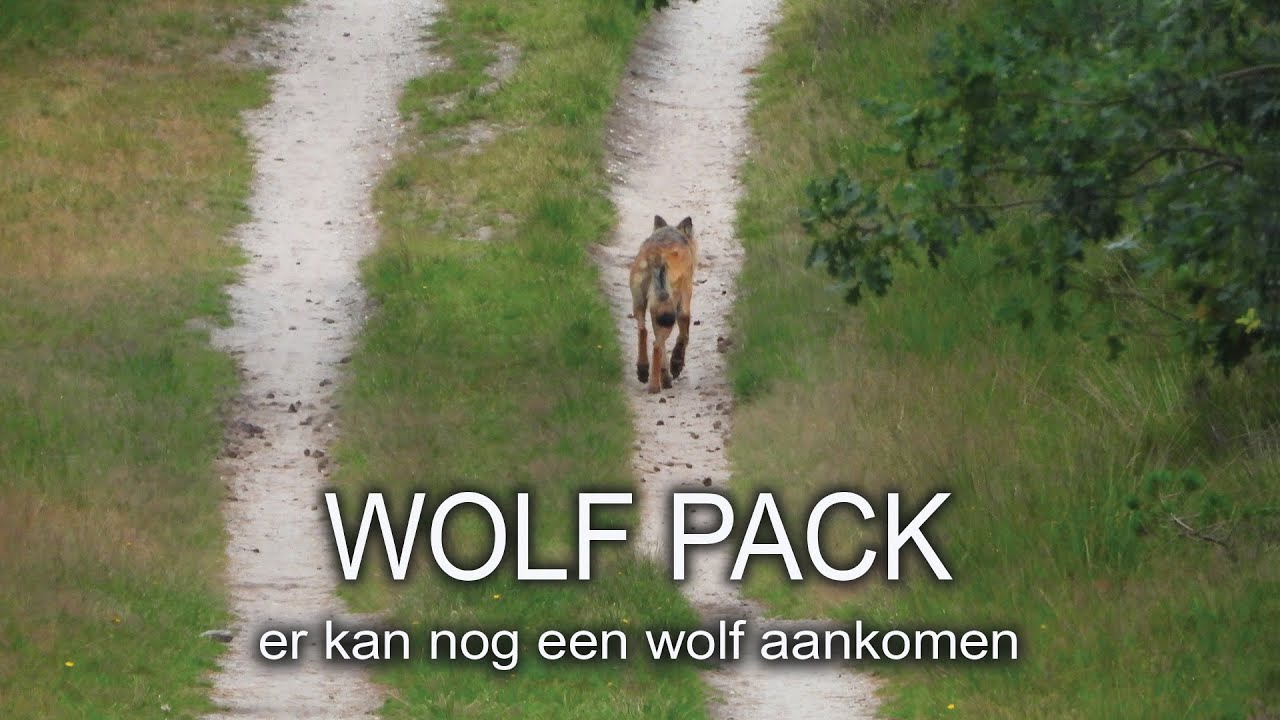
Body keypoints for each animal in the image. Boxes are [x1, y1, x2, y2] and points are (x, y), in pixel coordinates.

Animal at [629, 215, 697, 394]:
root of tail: (656, 256)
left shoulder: (657, 312)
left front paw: (666, 375)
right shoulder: (684, 301)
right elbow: (683, 337)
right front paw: (676, 365)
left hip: (642, 305)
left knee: (644, 332)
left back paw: (643, 370)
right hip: (669, 313)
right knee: (656, 345)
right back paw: (654, 386)